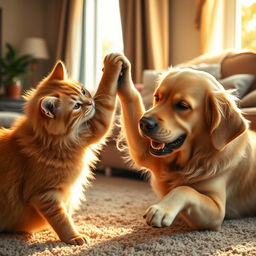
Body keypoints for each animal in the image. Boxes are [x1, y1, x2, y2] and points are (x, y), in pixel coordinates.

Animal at [0, 53, 123, 245]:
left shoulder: (92, 129)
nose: (91, 102)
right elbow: (61, 219)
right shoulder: (44, 195)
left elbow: (105, 100)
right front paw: (73, 237)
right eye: (77, 106)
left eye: (83, 91)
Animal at [115, 53, 256, 231]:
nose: (144, 123)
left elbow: (184, 189)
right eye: (157, 98)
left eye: (182, 105)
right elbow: (132, 97)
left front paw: (161, 209)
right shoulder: (147, 153)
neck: (193, 158)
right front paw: (121, 69)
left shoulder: (217, 212)